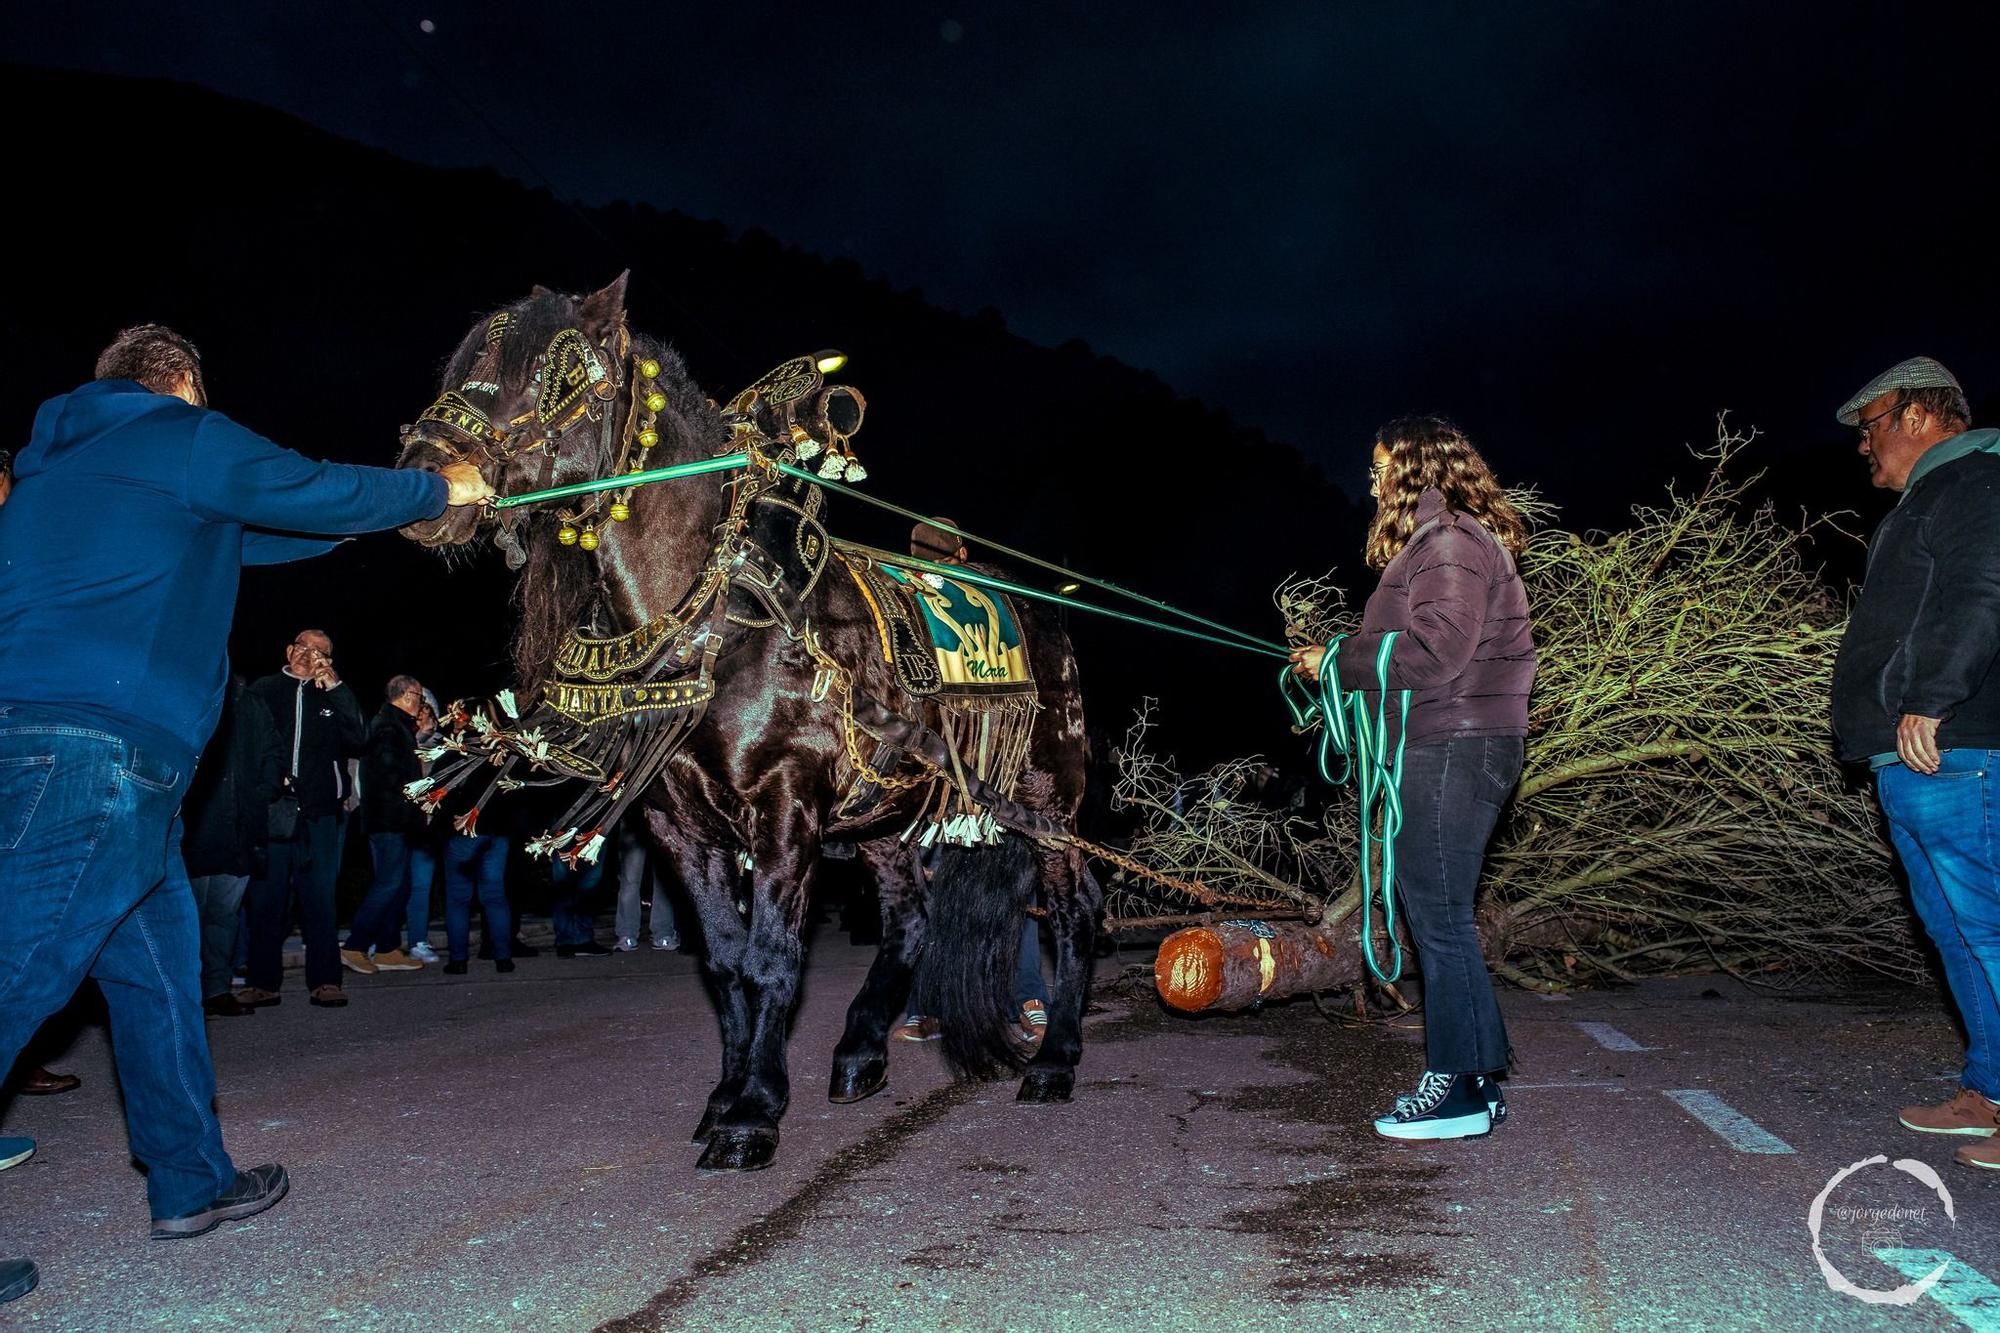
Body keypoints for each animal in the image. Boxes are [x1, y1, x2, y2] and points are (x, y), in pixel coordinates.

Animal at [396, 274, 1104, 1168]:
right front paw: (727, 1093)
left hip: (1047, 798)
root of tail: (1041, 613)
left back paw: (1055, 1060)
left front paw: (752, 1114)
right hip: (883, 813)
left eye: (555, 375)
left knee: (1074, 910)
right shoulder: (679, 827)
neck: (718, 620)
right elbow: (728, 961)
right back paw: (860, 1050)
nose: (423, 473)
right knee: (909, 916)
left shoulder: (785, 805)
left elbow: (772, 957)